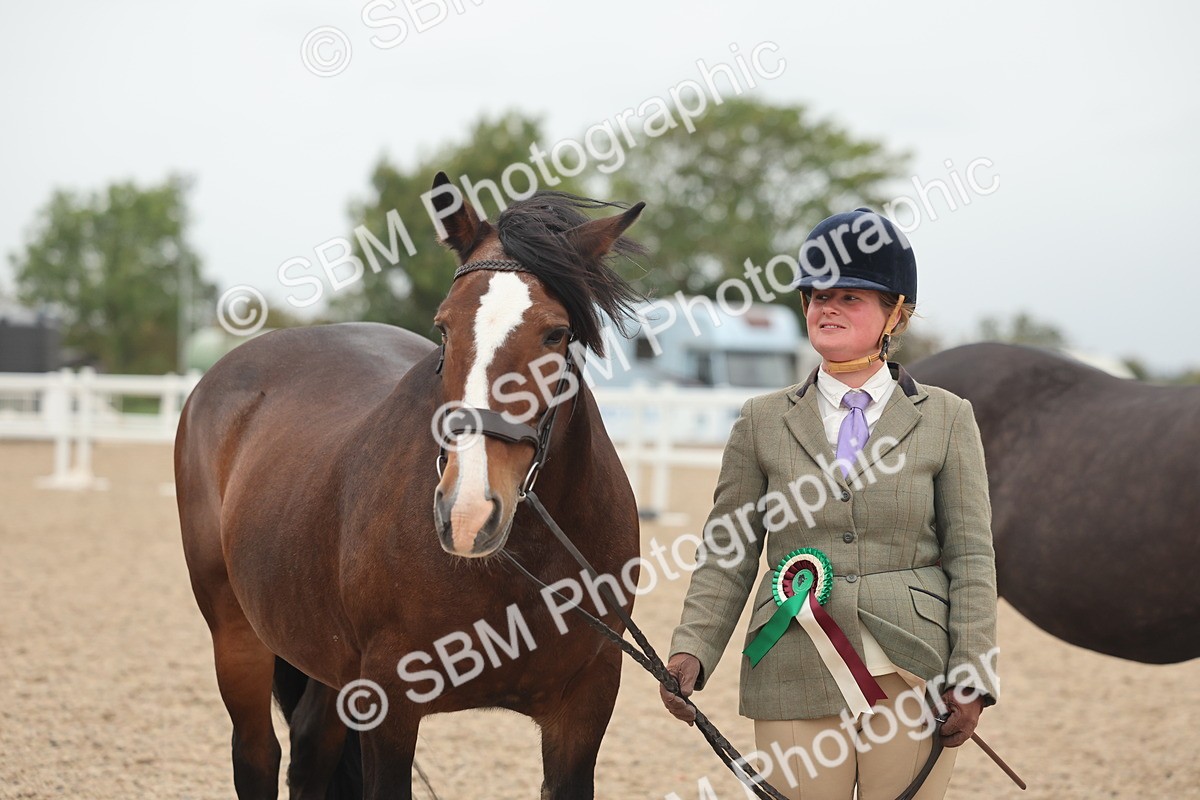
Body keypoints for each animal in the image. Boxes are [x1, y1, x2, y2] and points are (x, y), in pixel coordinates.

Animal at [175, 173, 647, 799]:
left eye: (557, 333)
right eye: (443, 327)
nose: (467, 514)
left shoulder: (584, 705)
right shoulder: (390, 701)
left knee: (311, 745)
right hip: (236, 635)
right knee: (256, 755)